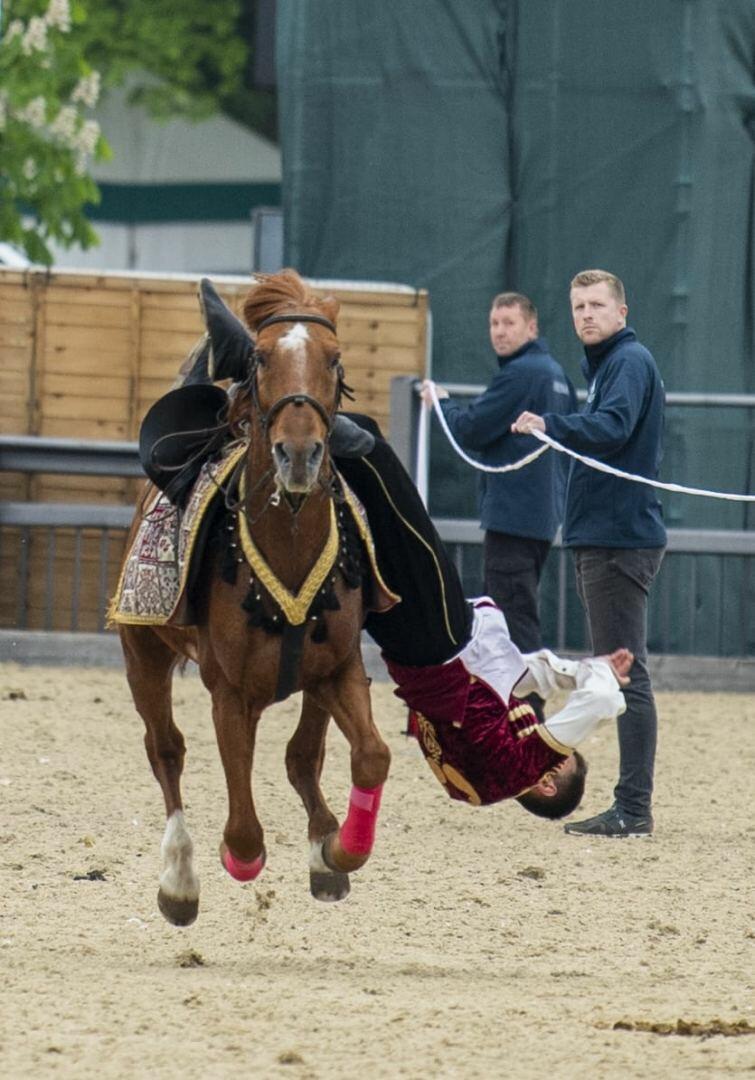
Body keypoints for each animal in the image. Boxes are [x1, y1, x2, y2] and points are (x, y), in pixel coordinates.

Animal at [117, 270, 391, 926]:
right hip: (143, 654)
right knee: (165, 750)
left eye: (335, 358)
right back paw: (179, 879)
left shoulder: (341, 668)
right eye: (262, 358)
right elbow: (243, 830)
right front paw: (238, 863)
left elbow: (368, 755)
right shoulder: (230, 691)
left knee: (301, 755)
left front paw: (338, 850)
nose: (299, 453)